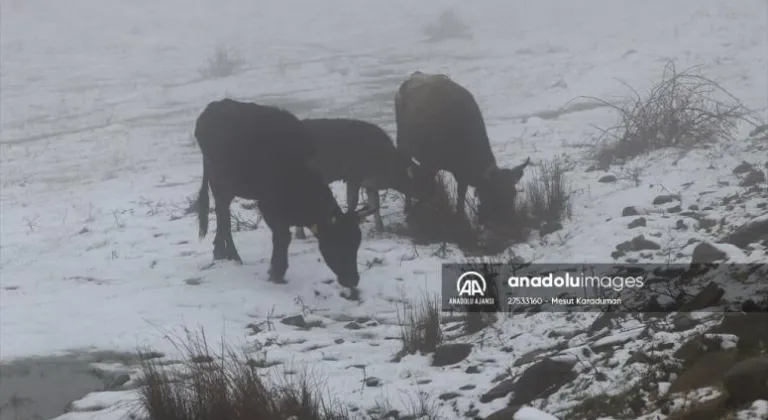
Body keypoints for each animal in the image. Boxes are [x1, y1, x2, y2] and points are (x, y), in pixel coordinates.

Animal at [192, 99, 372, 288]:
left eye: (356, 244)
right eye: (337, 244)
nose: (353, 280)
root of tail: (213, 107)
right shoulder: (268, 207)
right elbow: (283, 237)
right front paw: (277, 273)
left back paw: (220, 252)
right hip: (220, 183)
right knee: (223, 215)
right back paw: (231, 254)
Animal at [292, 117, 428, 240]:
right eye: (419, 182)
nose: (428, 196)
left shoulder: (370, 183)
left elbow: (375, 203)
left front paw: (380, 228)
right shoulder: (354, 177)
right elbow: (353, 202)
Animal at [392, 70, 532, 225]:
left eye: (513, 194)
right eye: (493, 194)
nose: (511, 222)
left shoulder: (461, 176)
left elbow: (460, 199)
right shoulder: (429, 165)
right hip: (402, 145)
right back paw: (408, 208)